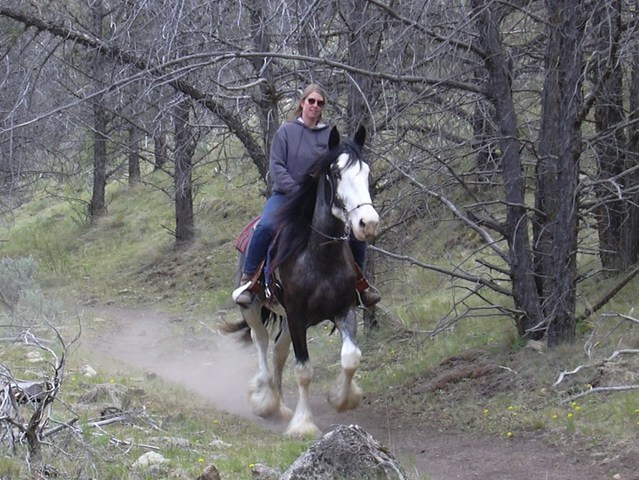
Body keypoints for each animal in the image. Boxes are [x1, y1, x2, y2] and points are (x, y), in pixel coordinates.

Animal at [224, 125, 378, 436]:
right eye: (336, 173)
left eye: (366, 172)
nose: (368, 223)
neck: (320, 254)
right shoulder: (296, 315)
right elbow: (304, 370)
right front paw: (303, 425)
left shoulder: (344, 310)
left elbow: (351, 358)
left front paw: (342, 398)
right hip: (253, 308)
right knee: (261, 342)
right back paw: (265, 399)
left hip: (286, 319)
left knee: (278, 352)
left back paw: (281, 405)